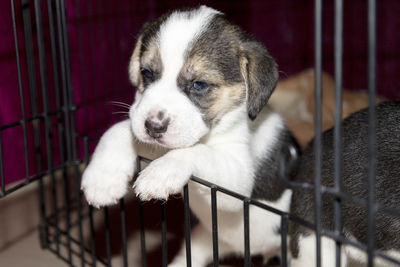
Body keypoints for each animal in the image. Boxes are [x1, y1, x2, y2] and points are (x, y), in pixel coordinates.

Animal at [81, 5, 298, 266]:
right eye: (147, 72)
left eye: (199, 85)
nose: (153, 127)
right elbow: (118, 130)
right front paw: (101, 179)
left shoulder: (238, 180)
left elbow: (196, 151)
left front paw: (160, 173)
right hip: (201, 240)